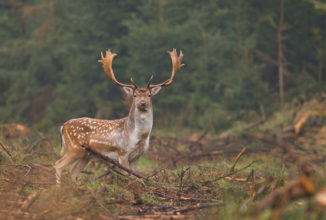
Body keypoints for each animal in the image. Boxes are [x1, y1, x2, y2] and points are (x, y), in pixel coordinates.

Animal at [53, 48, 183, 184]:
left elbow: (133, 174)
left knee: (73, 172)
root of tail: (63, 126)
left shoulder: (137, 156)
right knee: (58, 164)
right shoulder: (122, 152)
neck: (138, 137)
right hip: (75, 148)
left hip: (85, 155)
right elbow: (126, 174)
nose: (143, 103)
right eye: (135, 95)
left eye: (149, 95)